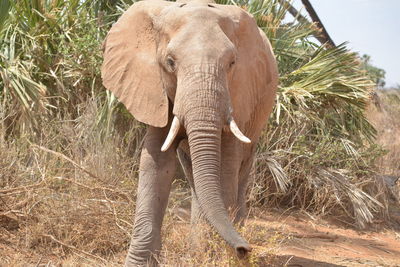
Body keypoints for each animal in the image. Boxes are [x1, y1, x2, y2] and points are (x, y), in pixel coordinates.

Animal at [101, 0, 278, 264]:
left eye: (232, 63)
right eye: (170, 62)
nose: (244, 249)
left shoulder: (240, 91)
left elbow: (226, 163)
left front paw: (218, 257)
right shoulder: (155, 89)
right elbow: (156, 161)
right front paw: (139, 263)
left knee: (241, 167)